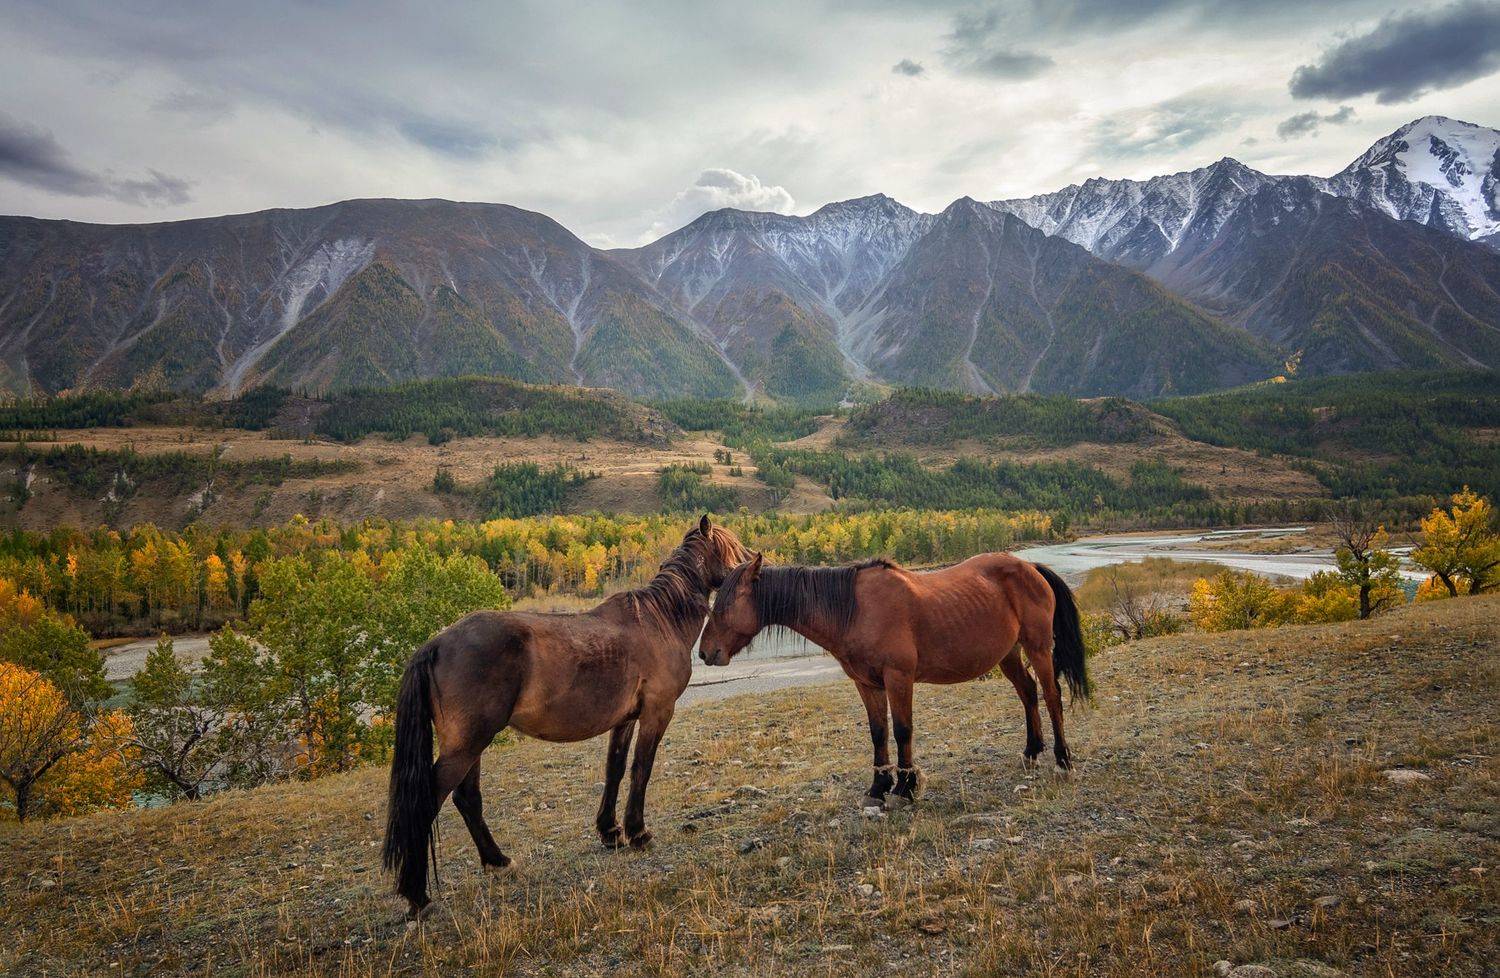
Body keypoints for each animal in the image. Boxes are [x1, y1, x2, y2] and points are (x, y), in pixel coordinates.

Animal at [383, 516, 750, 916]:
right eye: (733, 549)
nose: (755, 565)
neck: (660, 621)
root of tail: (435, 644)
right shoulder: (656, 713)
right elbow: (641, 769)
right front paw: (637, 832)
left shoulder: (625, 719)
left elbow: (615, 769)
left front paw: (610, 832)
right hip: (467, 744)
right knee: (430, 802)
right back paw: (417, 895)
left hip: (470, 745)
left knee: (468, 799)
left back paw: (498, 861)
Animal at [697, 551, 1088, 810]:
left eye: (724, 605)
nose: (704, 653)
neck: (855, 610)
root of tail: (1030, 567)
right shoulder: (868, 684)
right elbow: (878, 733)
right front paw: (879, 785)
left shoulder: (899, 678)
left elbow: (902, 730)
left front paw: (907, 785)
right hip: (1008, 655)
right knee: (1028, 693)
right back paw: (1031, 751)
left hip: (1038, 648)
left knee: (1051, 696)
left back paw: (1063, 759)